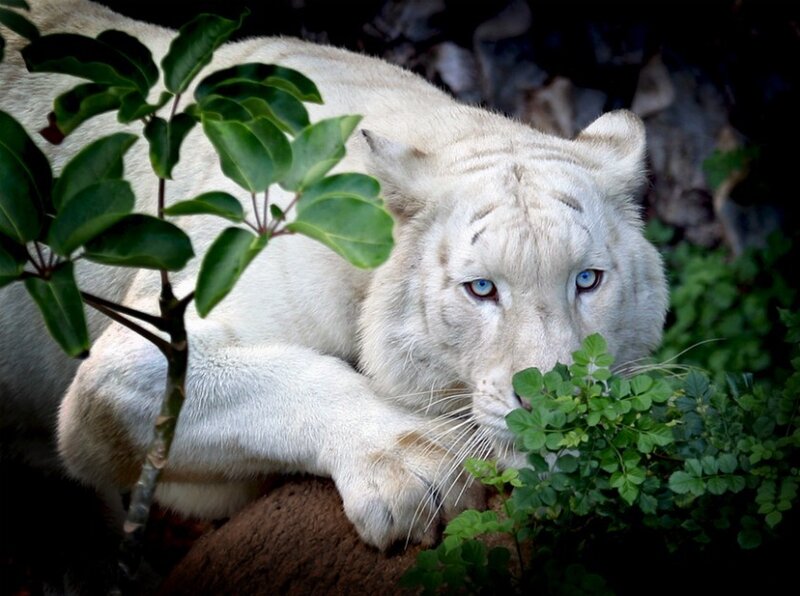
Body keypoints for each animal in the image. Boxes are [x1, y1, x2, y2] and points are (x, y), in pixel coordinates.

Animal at [0, 0, 668, 549]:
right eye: (482, 289)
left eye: (587, 280)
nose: (559, 400)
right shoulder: (139, 362)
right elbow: (291, 375)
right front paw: (417, 472)